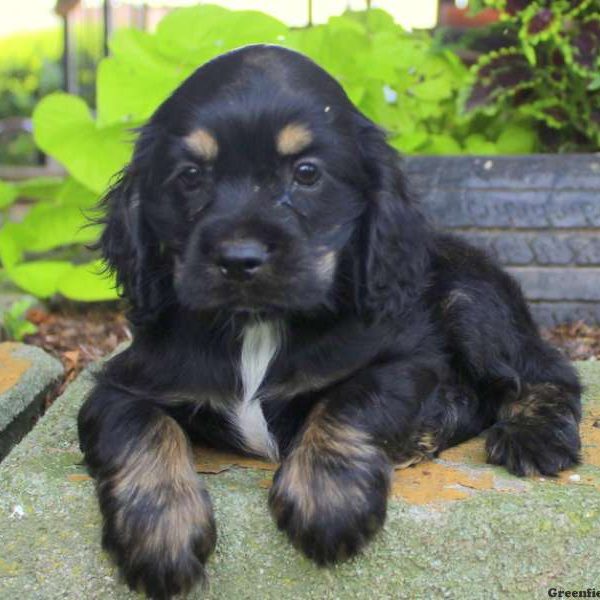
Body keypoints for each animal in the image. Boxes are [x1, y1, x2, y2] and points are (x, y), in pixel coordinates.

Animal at [78, 47, 580, 600]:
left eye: (307, 173)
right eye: (190, 175)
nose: (238, 259)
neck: (259, 326)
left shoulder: (404, 360)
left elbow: (351, 400)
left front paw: (329, 499)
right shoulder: (120, 385)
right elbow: (139, 426)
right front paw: (159, 534)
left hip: (472, 301)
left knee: (546, 373)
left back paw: (529, 436)